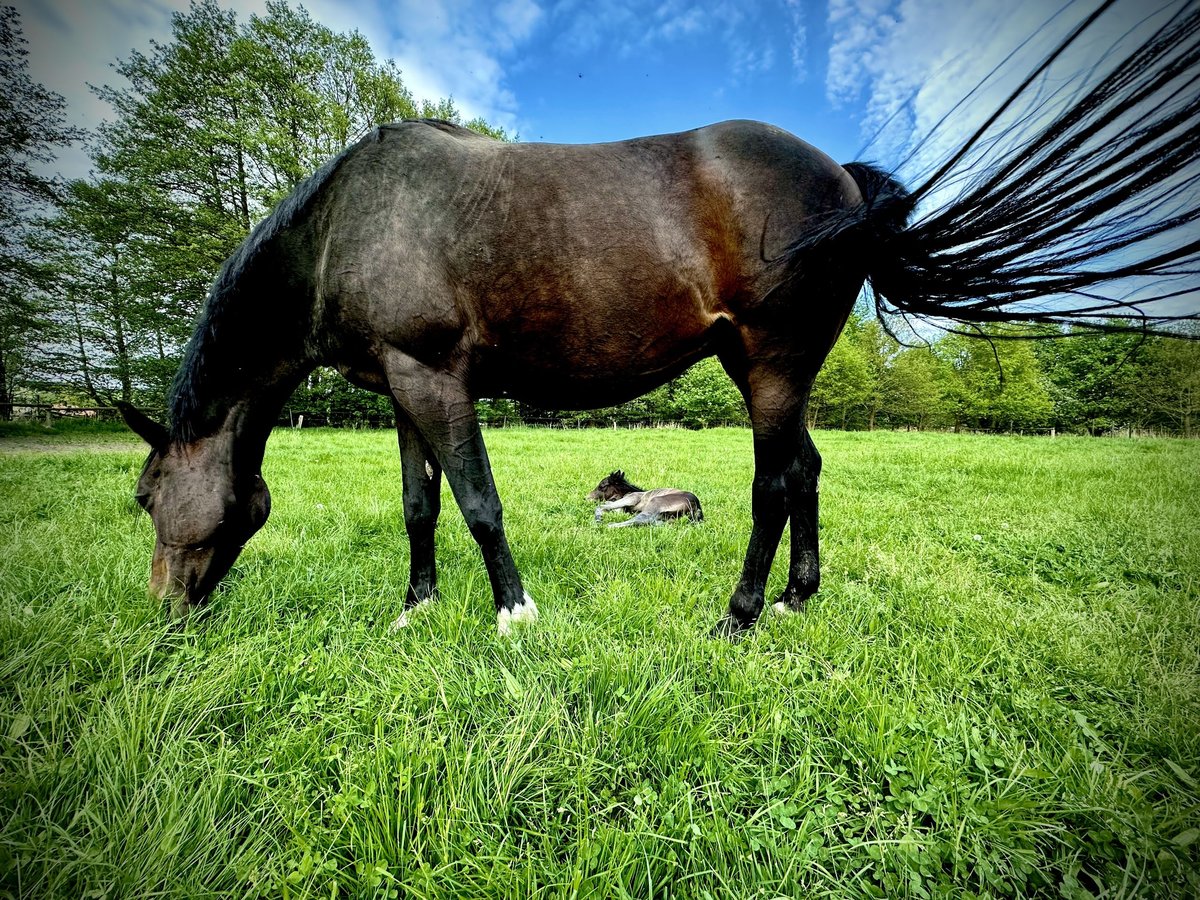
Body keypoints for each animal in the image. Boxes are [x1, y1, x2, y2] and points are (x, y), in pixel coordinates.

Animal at [119, 1, 1200, 633]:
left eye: (140, 496)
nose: (163, 613)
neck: (350, 222)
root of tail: (846, 180)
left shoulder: (437, 380)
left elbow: (478, 502)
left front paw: (514, 617)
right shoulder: (401, 386)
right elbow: (423, 506)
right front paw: (417, 610)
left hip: (770, 366)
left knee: (775, 483)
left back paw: (742, 615)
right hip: (772, 370)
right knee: (808, 471)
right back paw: (798, 597)